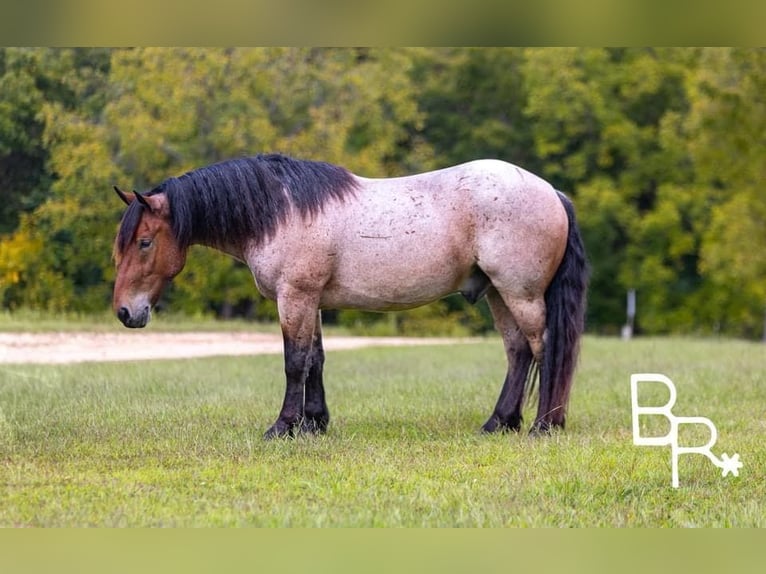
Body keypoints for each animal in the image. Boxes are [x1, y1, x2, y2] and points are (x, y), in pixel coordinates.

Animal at [112, 153, 588, 438]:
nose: (125, 312)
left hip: (520, 293)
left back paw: (544, 426)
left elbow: (294, 362)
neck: (280, 212)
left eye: (144, 242)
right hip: (499, 294)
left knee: (544, 348)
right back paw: (498, 423)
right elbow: (316, 360)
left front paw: (283, 427)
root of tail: (552, 192)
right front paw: (314, 424)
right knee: (517, 352)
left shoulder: (295, 298)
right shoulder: (312, 301)